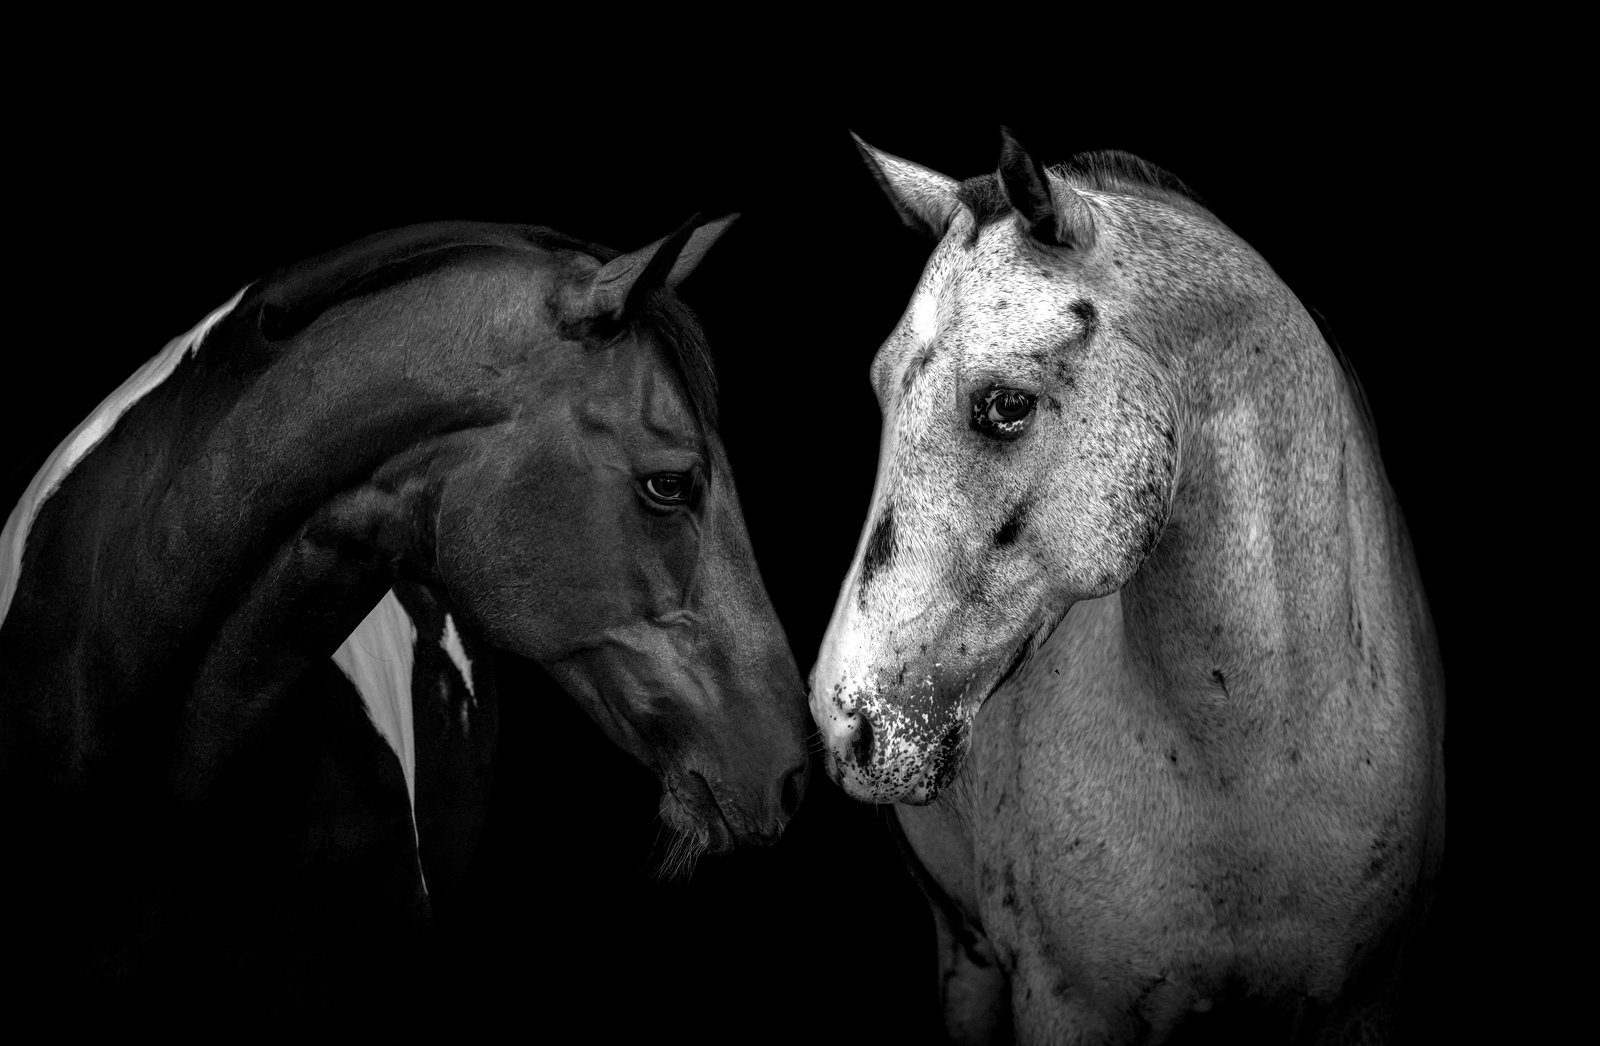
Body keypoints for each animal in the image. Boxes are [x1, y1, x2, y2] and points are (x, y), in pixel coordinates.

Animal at [809, 131, 1445, 1044]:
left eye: (1006, 404)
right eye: (881, 385)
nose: (844, 721)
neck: (1242, 760)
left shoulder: (1364, 999)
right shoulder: (1065, 1005)